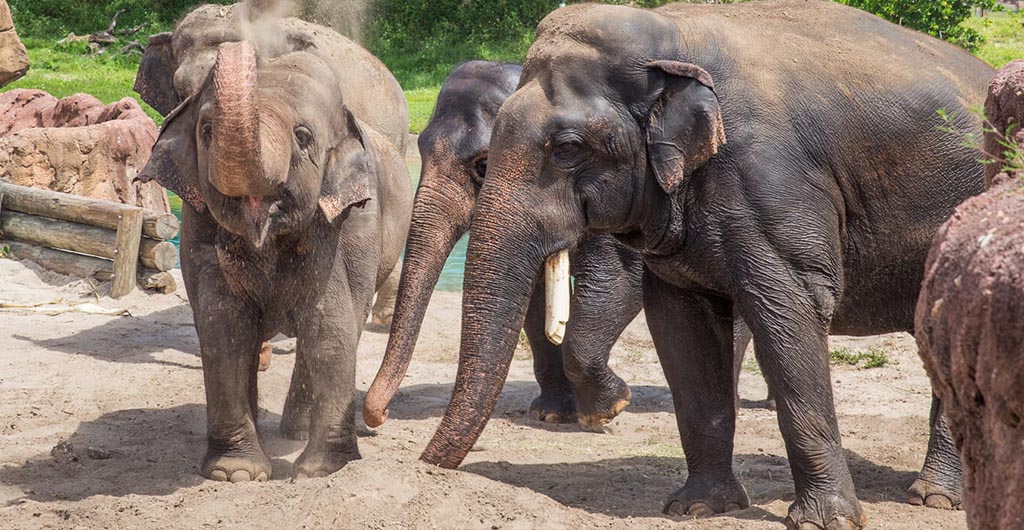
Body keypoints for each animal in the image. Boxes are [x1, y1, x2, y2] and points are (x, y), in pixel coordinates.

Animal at [134, 4, 412, 481]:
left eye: (303, 138)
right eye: (205, 130)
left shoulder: (346, 224)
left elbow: (329, 325)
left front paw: (319, 472)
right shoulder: (198, 222)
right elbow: (223, 327)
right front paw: (236, 473)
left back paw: (295, 432)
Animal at [415, 2, 992, 528]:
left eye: (569, 148)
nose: (428, 466)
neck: (672, 34)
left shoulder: (772, 182)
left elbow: (789, 312)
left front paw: (823, 521)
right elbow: (680, 325)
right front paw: (696, 507)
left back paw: (935, 498)